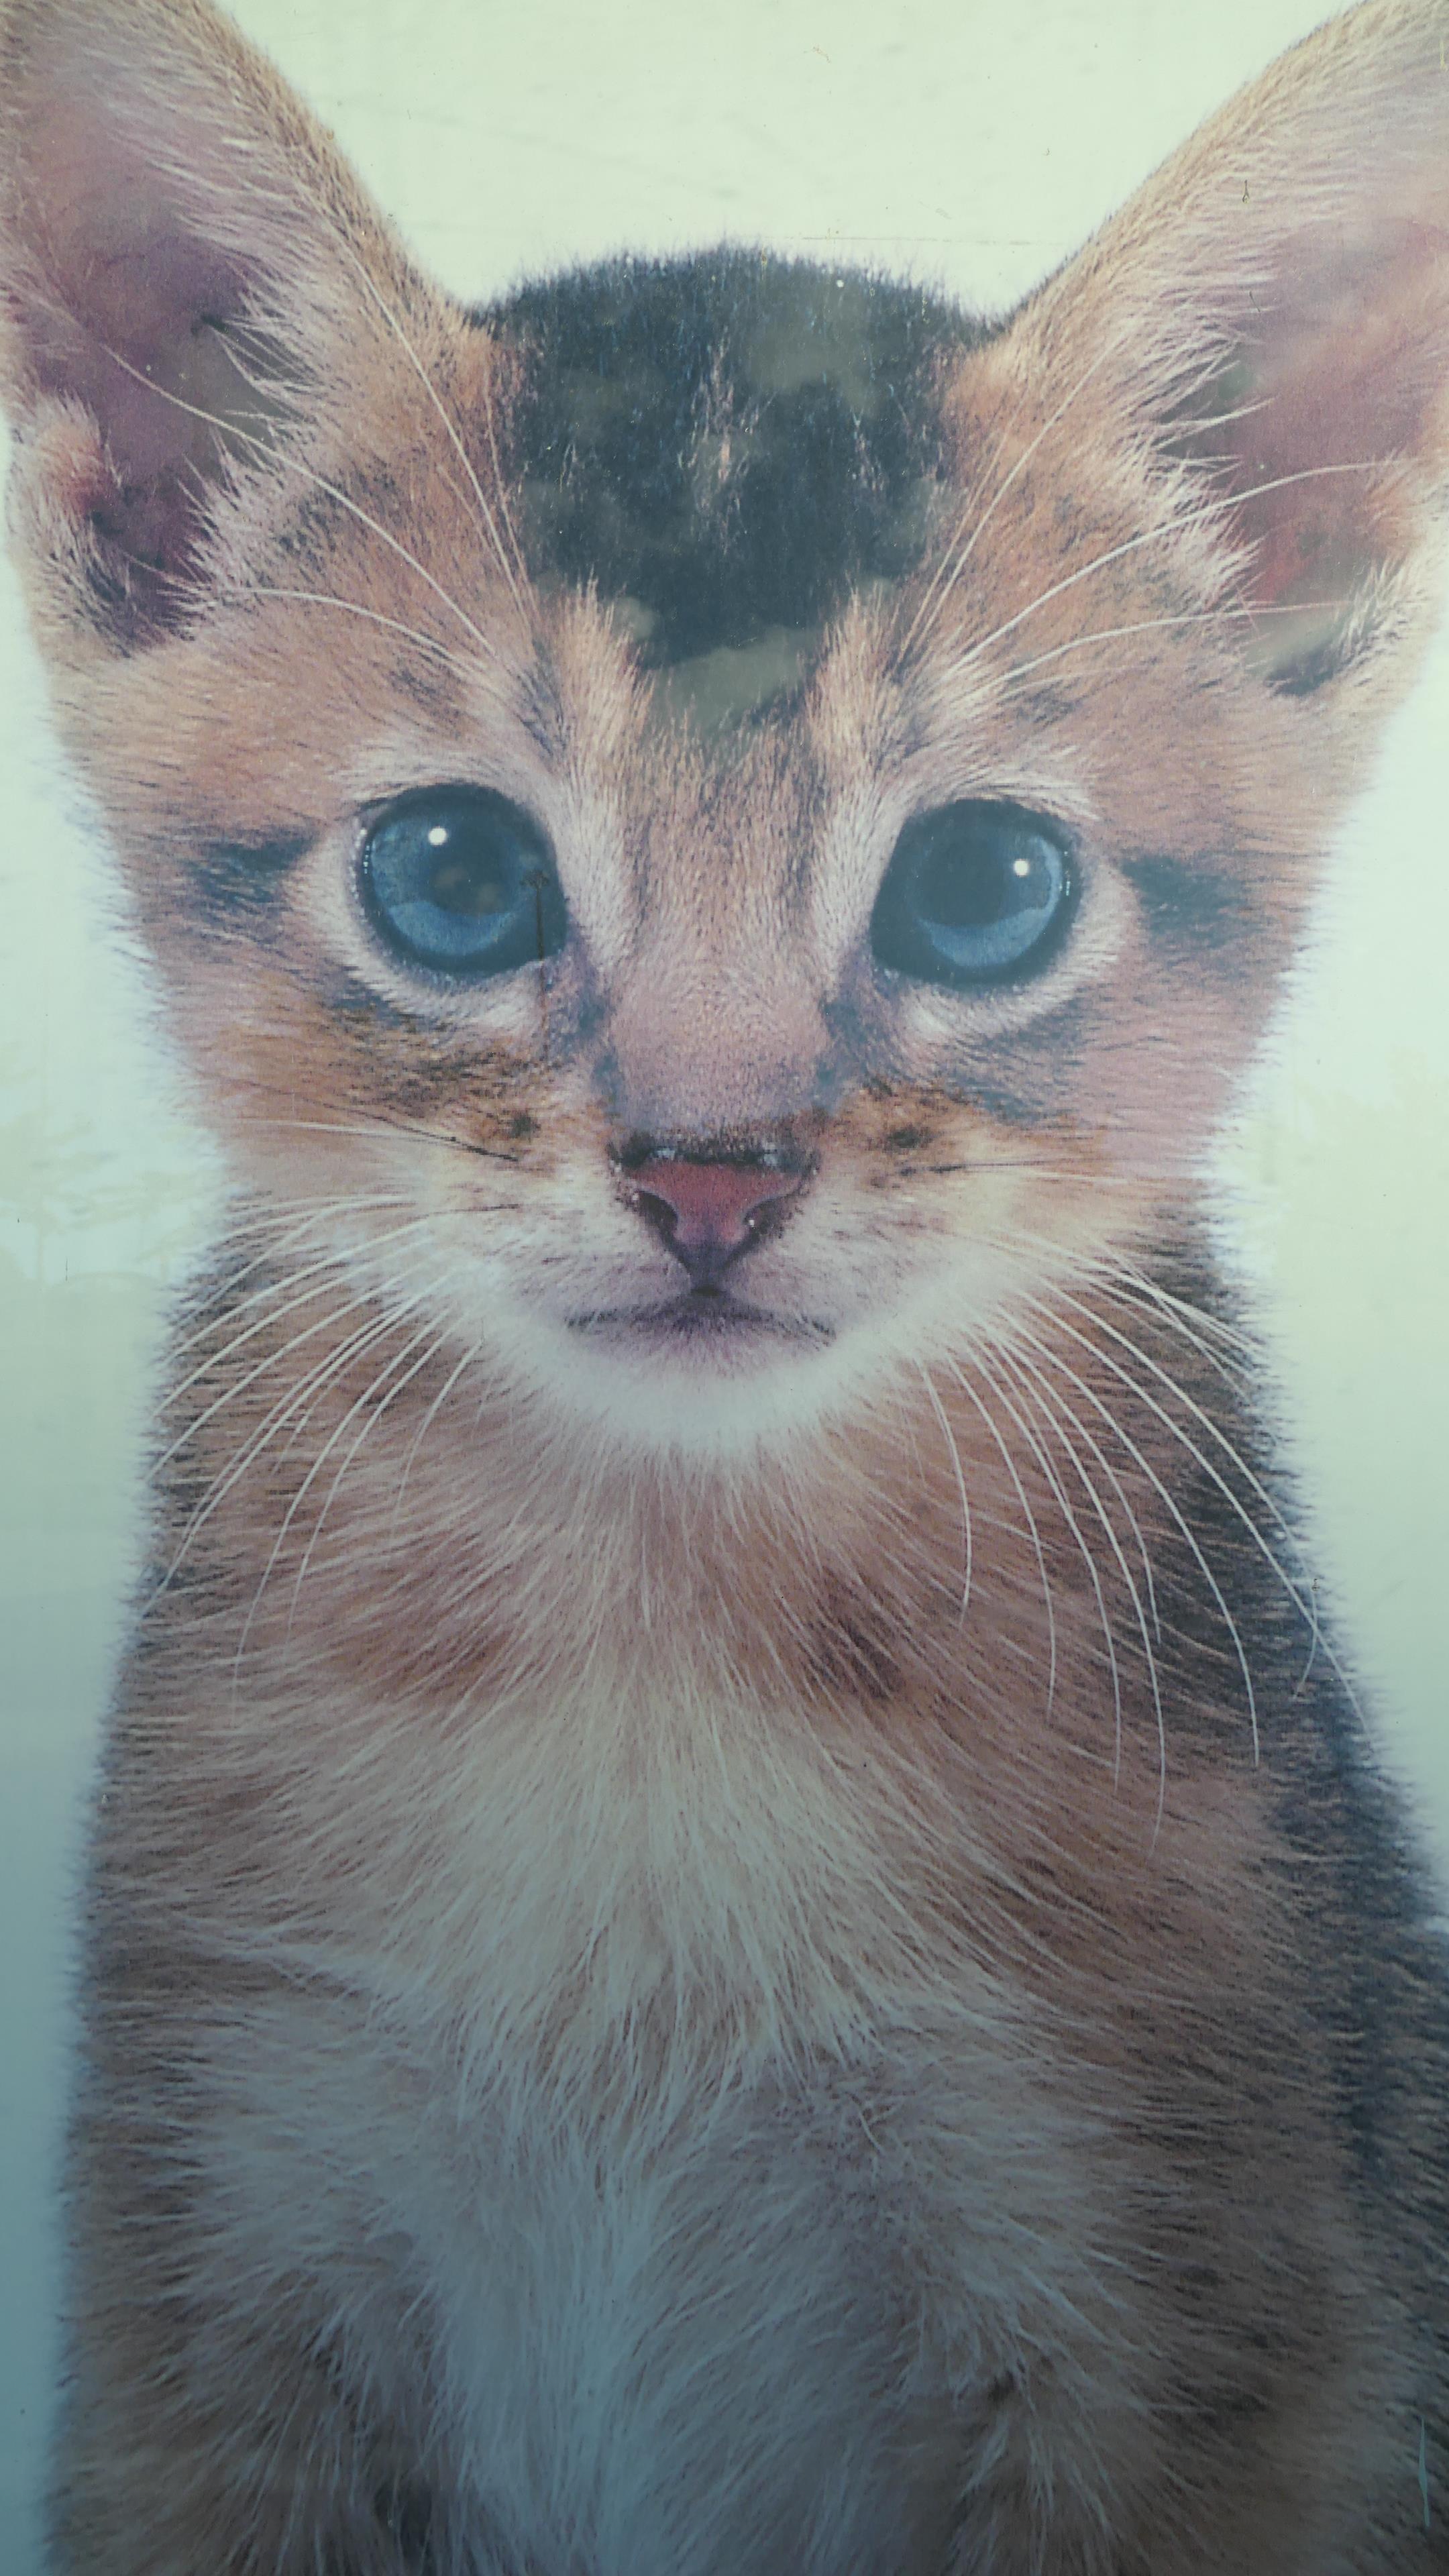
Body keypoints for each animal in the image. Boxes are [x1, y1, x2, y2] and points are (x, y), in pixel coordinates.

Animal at [2, 0, 1449, 2566]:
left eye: (981, 886)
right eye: (454, 872)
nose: (707, 1176)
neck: (655, 1645)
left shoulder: (1198, 2320)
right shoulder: (212, 2251)